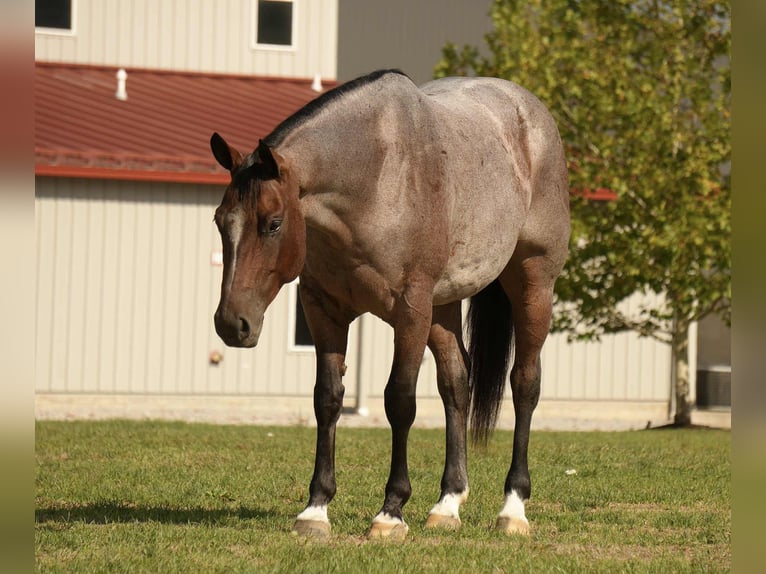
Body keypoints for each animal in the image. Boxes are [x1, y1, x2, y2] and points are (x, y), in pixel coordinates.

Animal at [210, 69, 570, 540]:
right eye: (220, 222)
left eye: (272, 224)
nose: (231, 324)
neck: (375, 176)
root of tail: (534, 114)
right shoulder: (324, 309)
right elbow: (327, 399)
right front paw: (316, 509)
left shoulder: (410, 312)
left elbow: (400, 401)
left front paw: (391, 511)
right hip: (444, 307)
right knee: (456, 383)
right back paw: (447, 503)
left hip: (532, 285)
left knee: (525, 383)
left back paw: (513, 507)